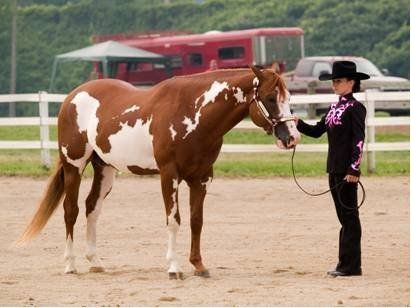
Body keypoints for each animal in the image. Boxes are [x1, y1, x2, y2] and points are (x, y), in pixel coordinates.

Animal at [17, 67, 300, 280]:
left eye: (288, 99)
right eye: (271, 98)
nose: (292, 138)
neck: (192, 113)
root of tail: (72, 97)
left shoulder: (202, 178)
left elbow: (196, 221)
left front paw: (199, 265)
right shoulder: (168, 174)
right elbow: (174, 220)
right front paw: (174, 268)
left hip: (105, 168)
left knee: (92, 208)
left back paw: (96, 261)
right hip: (73, 165)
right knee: (71, 210)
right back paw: (70, 265)